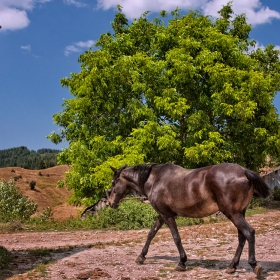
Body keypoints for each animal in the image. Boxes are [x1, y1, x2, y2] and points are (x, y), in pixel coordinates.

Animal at [107, 162, 272, 276]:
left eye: (113, 182)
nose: (110, 203)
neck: (154, 180)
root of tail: (243, 171)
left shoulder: (167, 216)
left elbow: (176, 237)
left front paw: (182, 262)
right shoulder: (162, 215)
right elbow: (151, 233)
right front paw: (141, 257)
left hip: (233, 214)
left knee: (249, 232)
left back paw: (253, 265)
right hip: (240, 213)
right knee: (242, 237)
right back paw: (232, 266)